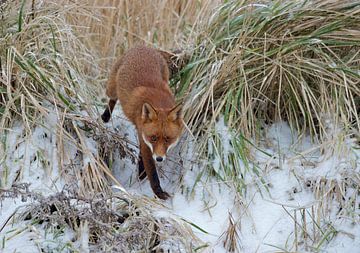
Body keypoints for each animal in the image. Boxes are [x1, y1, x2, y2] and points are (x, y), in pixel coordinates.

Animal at [101, 46, 183, 200]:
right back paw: (105, 116)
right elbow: (152, 172)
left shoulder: (143, 136)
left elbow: (142, 158)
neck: (159, 102)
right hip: (111, 88)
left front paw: (141, 174)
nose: (159, 159)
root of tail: (144, 46)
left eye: (168, 139)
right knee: (112, 98)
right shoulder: (144, 137)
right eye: (154, 138)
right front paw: (158, 192)